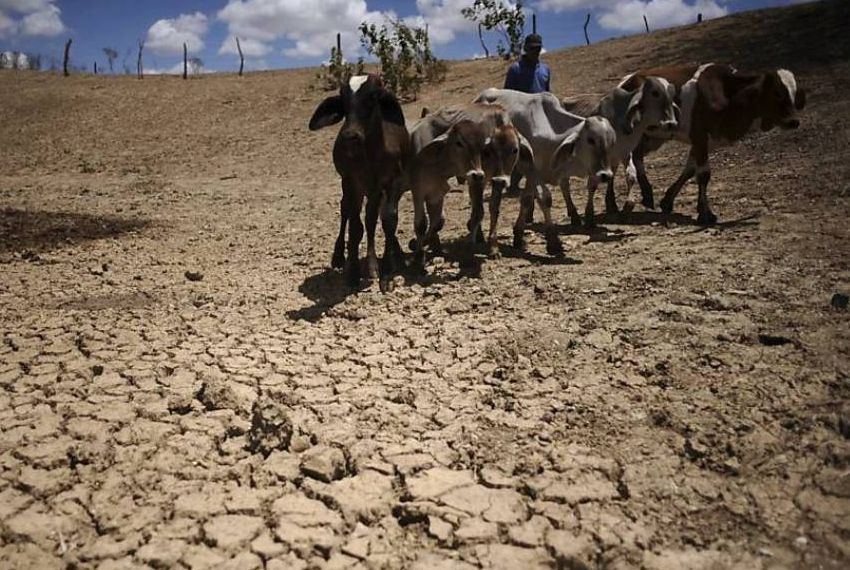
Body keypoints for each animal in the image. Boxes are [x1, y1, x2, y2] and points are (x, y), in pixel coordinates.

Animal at [306, 74, 410, 288]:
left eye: (373, 96)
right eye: (344, 101)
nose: (350, 135)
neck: (372, 153)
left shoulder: (392, 182)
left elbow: (388, 219)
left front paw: (387, 271)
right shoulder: (352, 181)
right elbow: (355, 227)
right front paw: (353, 272)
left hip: (374, 191)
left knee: (372, 218)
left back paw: (375, 263)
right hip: (354, 187)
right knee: (346, 210)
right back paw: (339, 256)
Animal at [628, 62, 804, 222]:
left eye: (794, 94)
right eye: (776, 93)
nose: (794, 121)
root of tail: (630, 78)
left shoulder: (706, 141)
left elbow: (690, 171)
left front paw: (667, 201)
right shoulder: (699, 136)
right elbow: (704, 174)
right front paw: (706, 214)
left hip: (654, 137)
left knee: (637, 156)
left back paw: (646, 195)